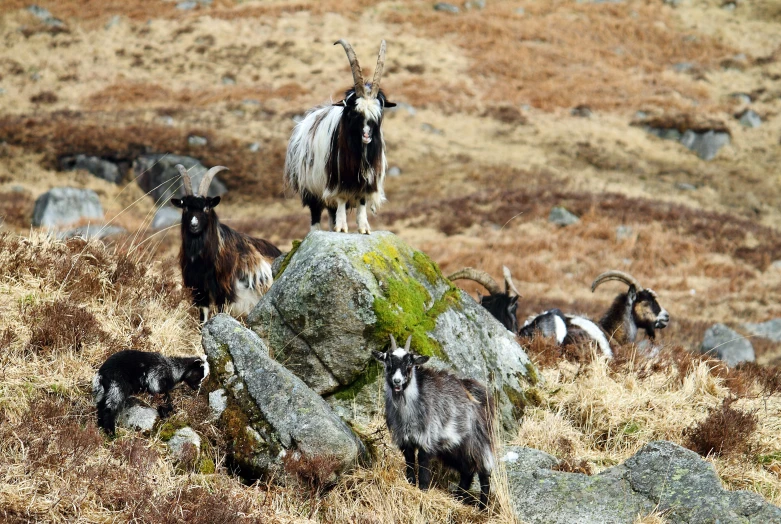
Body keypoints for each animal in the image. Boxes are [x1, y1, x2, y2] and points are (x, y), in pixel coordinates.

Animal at [171, 164, 284, 322]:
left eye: (206, 208)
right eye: (185, 207)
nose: (194, 225)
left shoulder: (224, 291)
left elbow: (221, 312)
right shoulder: (199, 290)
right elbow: (203, 316)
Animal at [284, 37, 396, 232]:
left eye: (379, 113)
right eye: (353, 112)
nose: (366, 136)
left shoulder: (366, 180)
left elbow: (361, 201)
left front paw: (364, 228)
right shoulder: (338, 178)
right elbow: (342, 199)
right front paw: (343, 227)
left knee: (331, 211)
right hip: (310, 187)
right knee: (316, 212)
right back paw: (317, 231)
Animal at [372, 336, 494, 508]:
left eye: (409, 364)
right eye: (388, 363)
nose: (397, 381)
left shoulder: (427, 439)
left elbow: (423, 465)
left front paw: (423, 490)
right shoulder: (405, 440)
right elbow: (410, 463)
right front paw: (411, 483)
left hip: (477, 440)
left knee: (484, 471)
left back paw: (483, 507)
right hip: (453, 447)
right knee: (467, 471)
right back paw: (459, 498)